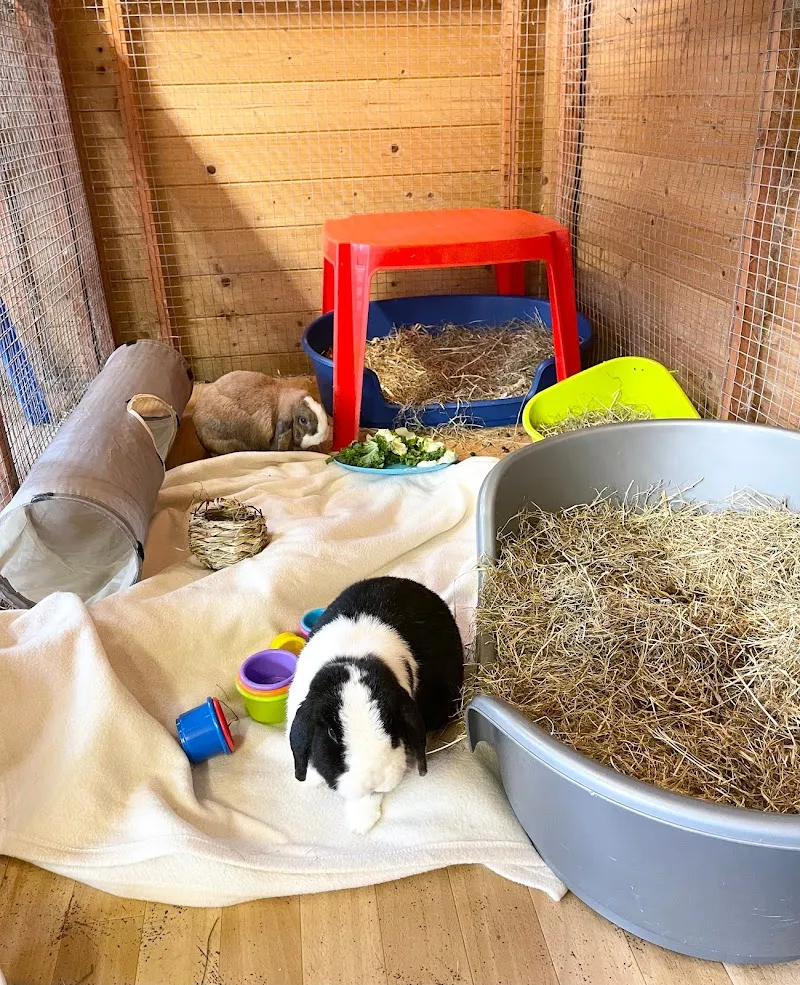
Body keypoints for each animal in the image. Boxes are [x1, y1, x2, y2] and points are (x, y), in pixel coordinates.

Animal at [287, 576, 464, 834]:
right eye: (331, 733)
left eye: (391, 723)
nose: (373, 780)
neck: (352, 655)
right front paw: (311, 781)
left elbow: (366, 799)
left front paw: (361, 824)